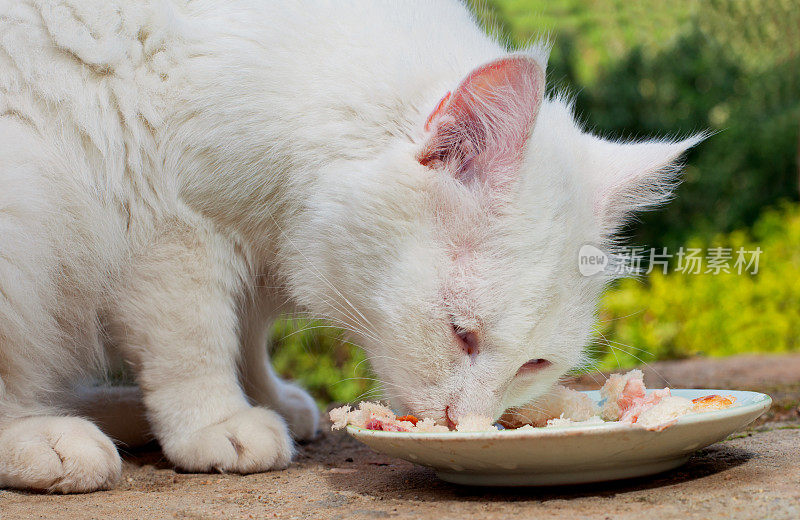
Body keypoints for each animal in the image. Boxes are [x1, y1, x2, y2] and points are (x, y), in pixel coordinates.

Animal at [0, 0, 700, 492]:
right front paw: (218, 421)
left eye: (535, 365)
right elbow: (194, 341)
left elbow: (245, 333)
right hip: (29, 212)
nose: (462, 426)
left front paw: (266, 397)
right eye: (461, 332)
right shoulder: (171, 226)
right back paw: (53, 439)